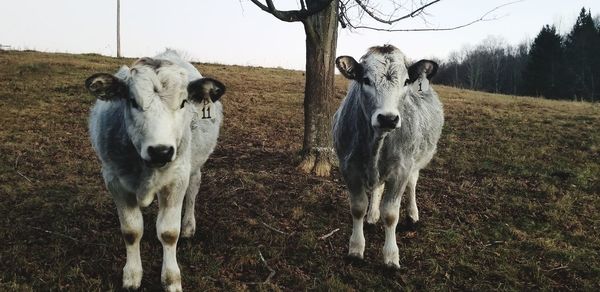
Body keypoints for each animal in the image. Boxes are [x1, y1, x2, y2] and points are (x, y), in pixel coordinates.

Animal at [85, 49, 224, 290]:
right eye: (132, 101)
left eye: (183, 102)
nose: (161, 151)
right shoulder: (114, 180)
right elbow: (131, 231)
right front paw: (132, 275)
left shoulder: (177, 179)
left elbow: (168, 233)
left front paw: (171, 279)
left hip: (194, 164)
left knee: (194, 189)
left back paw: (189, 226)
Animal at [332, 44, 440, 268]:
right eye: (365, 80)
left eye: (406, 81)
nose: (388, 118)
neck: (376, 143)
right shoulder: (348, 167)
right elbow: (358, 207)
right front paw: (356, 249)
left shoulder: (401, 170)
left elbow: (390, 214)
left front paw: (391, 257)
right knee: (378, 189)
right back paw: (372, 216)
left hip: (415, 162)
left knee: (412, 184)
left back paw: (413, 215)